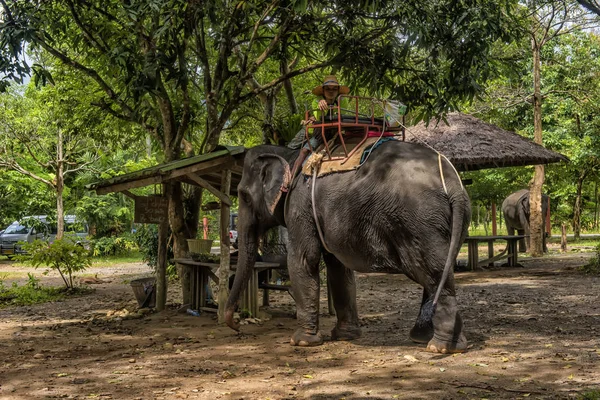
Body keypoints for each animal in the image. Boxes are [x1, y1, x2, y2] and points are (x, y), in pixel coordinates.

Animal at [223, 141, 472, 354]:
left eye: (244, 196)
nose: (237, 327)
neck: (291, 155)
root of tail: (453, 184)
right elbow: (339, 268)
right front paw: (345, 336)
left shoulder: (299, 205)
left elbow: (303, 260)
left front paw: (302, 342)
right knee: (438, 271)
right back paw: (433, 340)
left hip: (419, 221)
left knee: (431, 273)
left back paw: (440, 347)